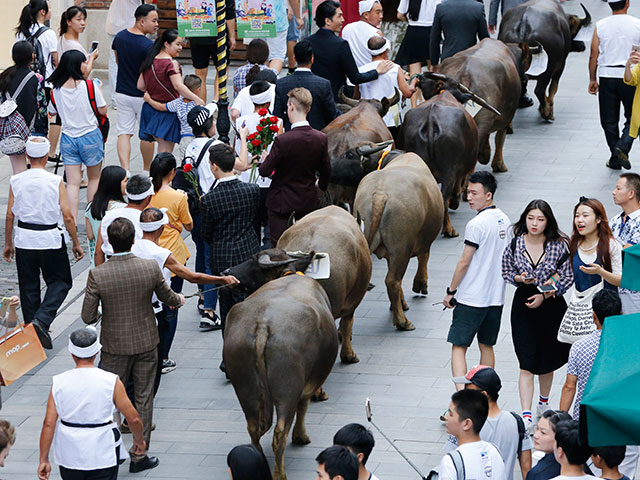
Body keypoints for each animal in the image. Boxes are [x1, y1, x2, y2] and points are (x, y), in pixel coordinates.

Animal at [352, 154, 442, 330]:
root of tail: (380, 194)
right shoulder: (423, 242)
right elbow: (424, 257)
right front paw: (420, 284)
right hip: (401, 248)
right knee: (392, 280)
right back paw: (402, 322)